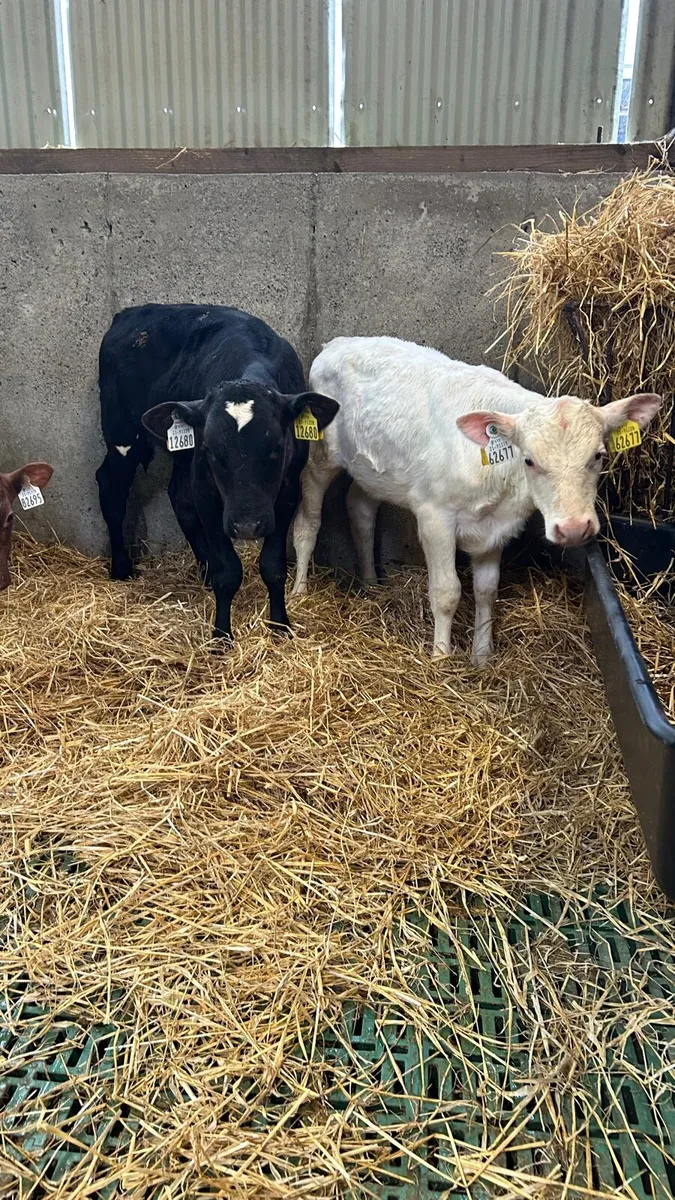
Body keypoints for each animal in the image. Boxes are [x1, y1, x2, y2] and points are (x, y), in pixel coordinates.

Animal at [96, 304, 338, 641]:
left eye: (277, 446)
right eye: (211, 450)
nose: (248, 525)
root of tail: (129, 314)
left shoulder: (288, 491)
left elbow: (273, 566)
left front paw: (280, 625)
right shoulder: (208, 492)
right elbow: (229, 571)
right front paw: (221, 636)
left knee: (178, 497)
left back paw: (204, 572)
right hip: (122, 432)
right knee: (112, 489)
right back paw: (121, 568)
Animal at [291, 336, 662, 665]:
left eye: (599, 456)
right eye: (529, 460)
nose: (573, 529)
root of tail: (337, 343)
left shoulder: (496, 527)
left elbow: (487, 590)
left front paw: (482, 658)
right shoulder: (434, 516)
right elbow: (447, 591)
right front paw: (441, 659)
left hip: (373, 471)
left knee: (361, 510)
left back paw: (370, 584)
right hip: (319, 456)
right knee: (308, 521)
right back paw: (299, 592)